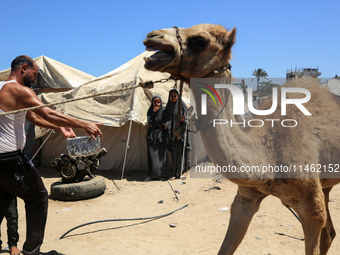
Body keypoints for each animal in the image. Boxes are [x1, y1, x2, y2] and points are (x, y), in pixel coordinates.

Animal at [144, 23, 340, 253]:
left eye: (200, 40)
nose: (152, 37)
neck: (268, 153)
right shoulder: (246, 198)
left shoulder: (311, 207)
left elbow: (316, 224)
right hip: (325, 183)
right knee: (329, 233)